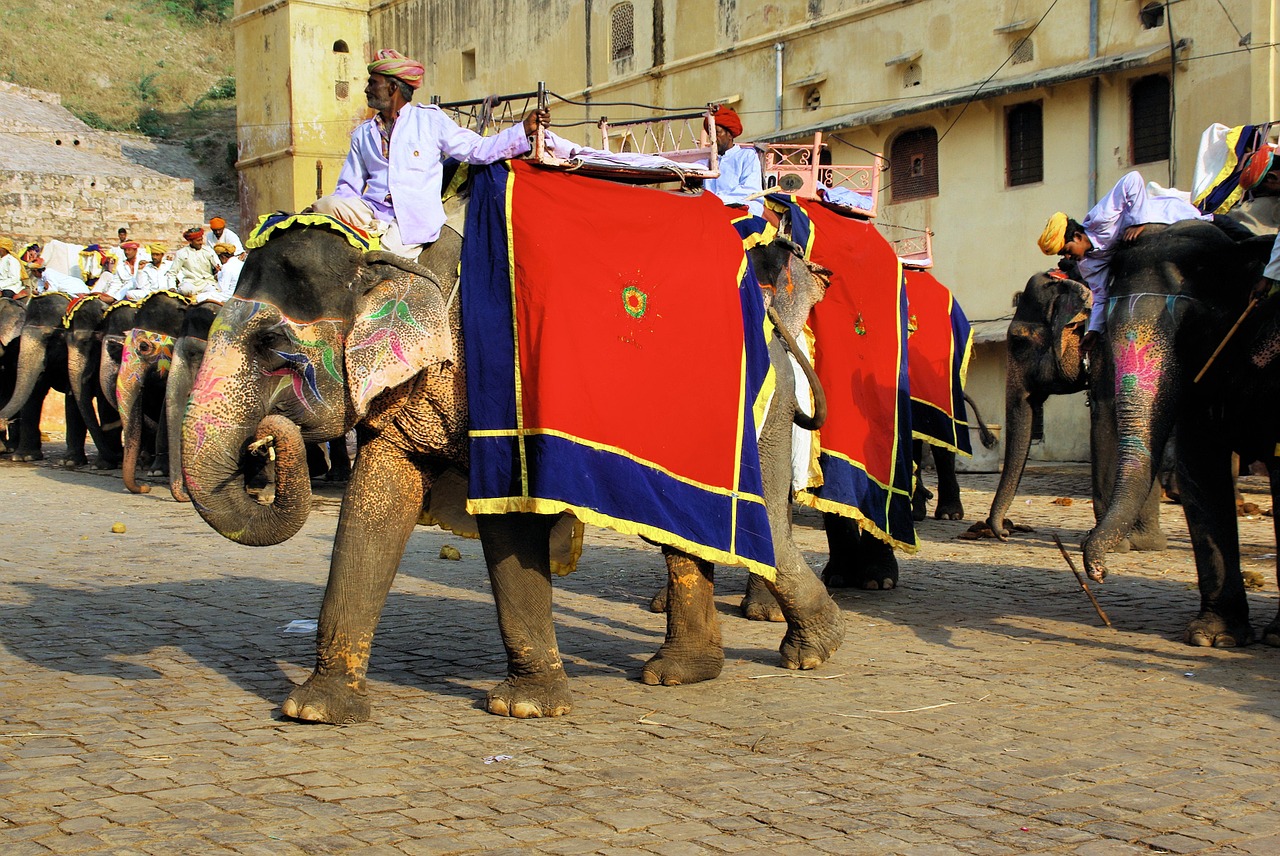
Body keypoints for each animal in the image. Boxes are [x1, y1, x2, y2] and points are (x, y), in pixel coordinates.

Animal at [180, 188, 839, 721]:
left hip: (762, 417)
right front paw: (315, 710)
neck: (402, 256)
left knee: (762, 528)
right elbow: (377, 500)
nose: (267, 436)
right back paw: (682, 672)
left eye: (273, 346)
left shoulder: (501, 378)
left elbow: (508, 517)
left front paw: (525, 708)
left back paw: (812, 653)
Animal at [977, 267, 1172, 550]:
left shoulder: (1111, 350)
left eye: (1018, 341)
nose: (1004, 532)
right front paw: (1144, 543)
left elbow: (1106, 420)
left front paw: (1105, 543)